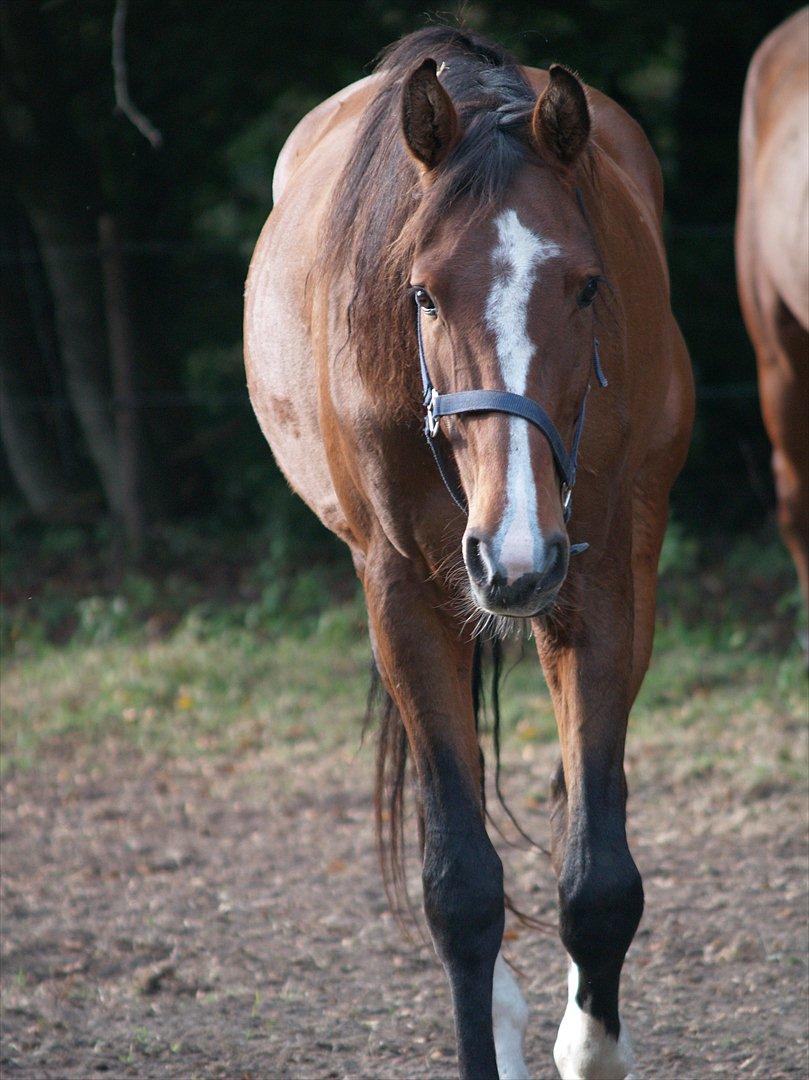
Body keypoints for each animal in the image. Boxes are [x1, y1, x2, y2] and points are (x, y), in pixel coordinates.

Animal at [243, 25, 691, 1080]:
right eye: (422, 294)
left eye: (588, 285)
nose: (513, 554)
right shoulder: (405, 594)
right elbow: (459, 886)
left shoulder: (598, 584)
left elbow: (598, 879)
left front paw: (589, 1044)